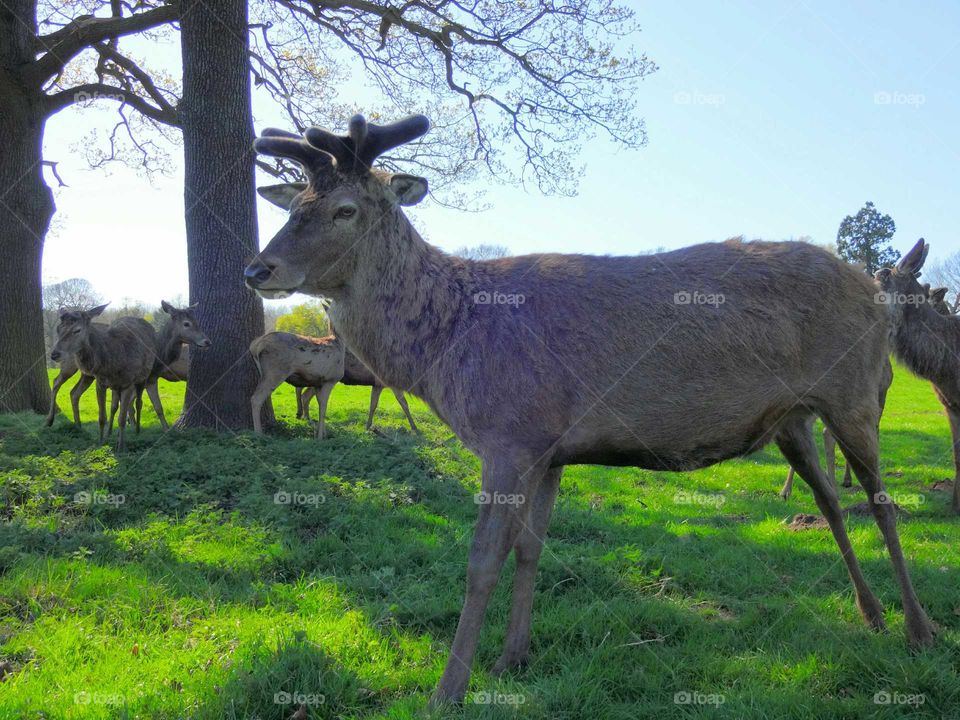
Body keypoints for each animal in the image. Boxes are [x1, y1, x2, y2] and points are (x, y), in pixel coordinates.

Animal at [49, 304, 156, 450]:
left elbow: (122, 418)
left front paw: (120, 447)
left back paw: (137, 431)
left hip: (141, 377)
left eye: (77, 330)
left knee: (138, 403)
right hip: (79, 371)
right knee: (63, 385)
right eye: (58, 329)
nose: (54, 354)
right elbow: (102, 417)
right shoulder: (100, 382)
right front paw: (101, 443)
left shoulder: (128, 383)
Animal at [244, 114, 932, 704]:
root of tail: (876, 292)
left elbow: (481, 561)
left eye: (345, 209)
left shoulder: (508, 434)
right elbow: (530, 549)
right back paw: (871, 613)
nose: (258, 268)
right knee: (830, 500)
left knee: (881, 500)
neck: (445, 351)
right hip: (795, 418)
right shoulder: (548, 449)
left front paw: (449, 688)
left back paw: (918, 628)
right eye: (294, 206)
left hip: (856, 394)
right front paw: (513, 658)